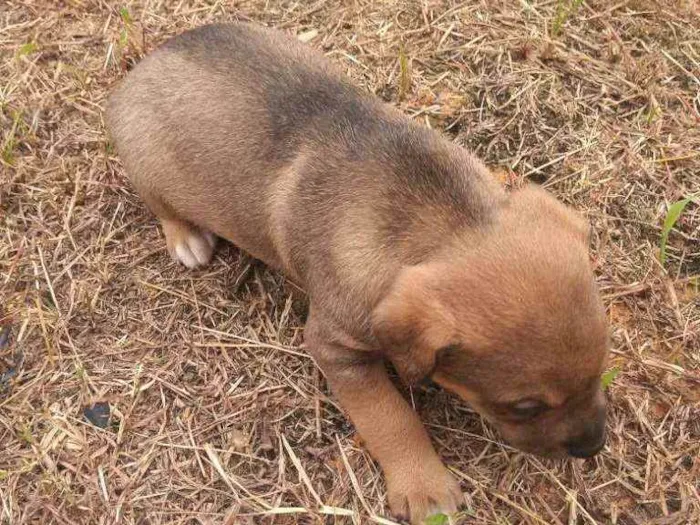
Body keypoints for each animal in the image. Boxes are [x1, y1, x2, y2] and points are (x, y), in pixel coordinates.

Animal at [106, 23, 608, 524]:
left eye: (602, 367)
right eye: (524, 406)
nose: (594, 446)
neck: (446, 225)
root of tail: (149, 59)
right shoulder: (336, 349)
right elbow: (391, 418)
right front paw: (424, 488)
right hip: (147, 167)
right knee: (161, 205)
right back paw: (187, 239)